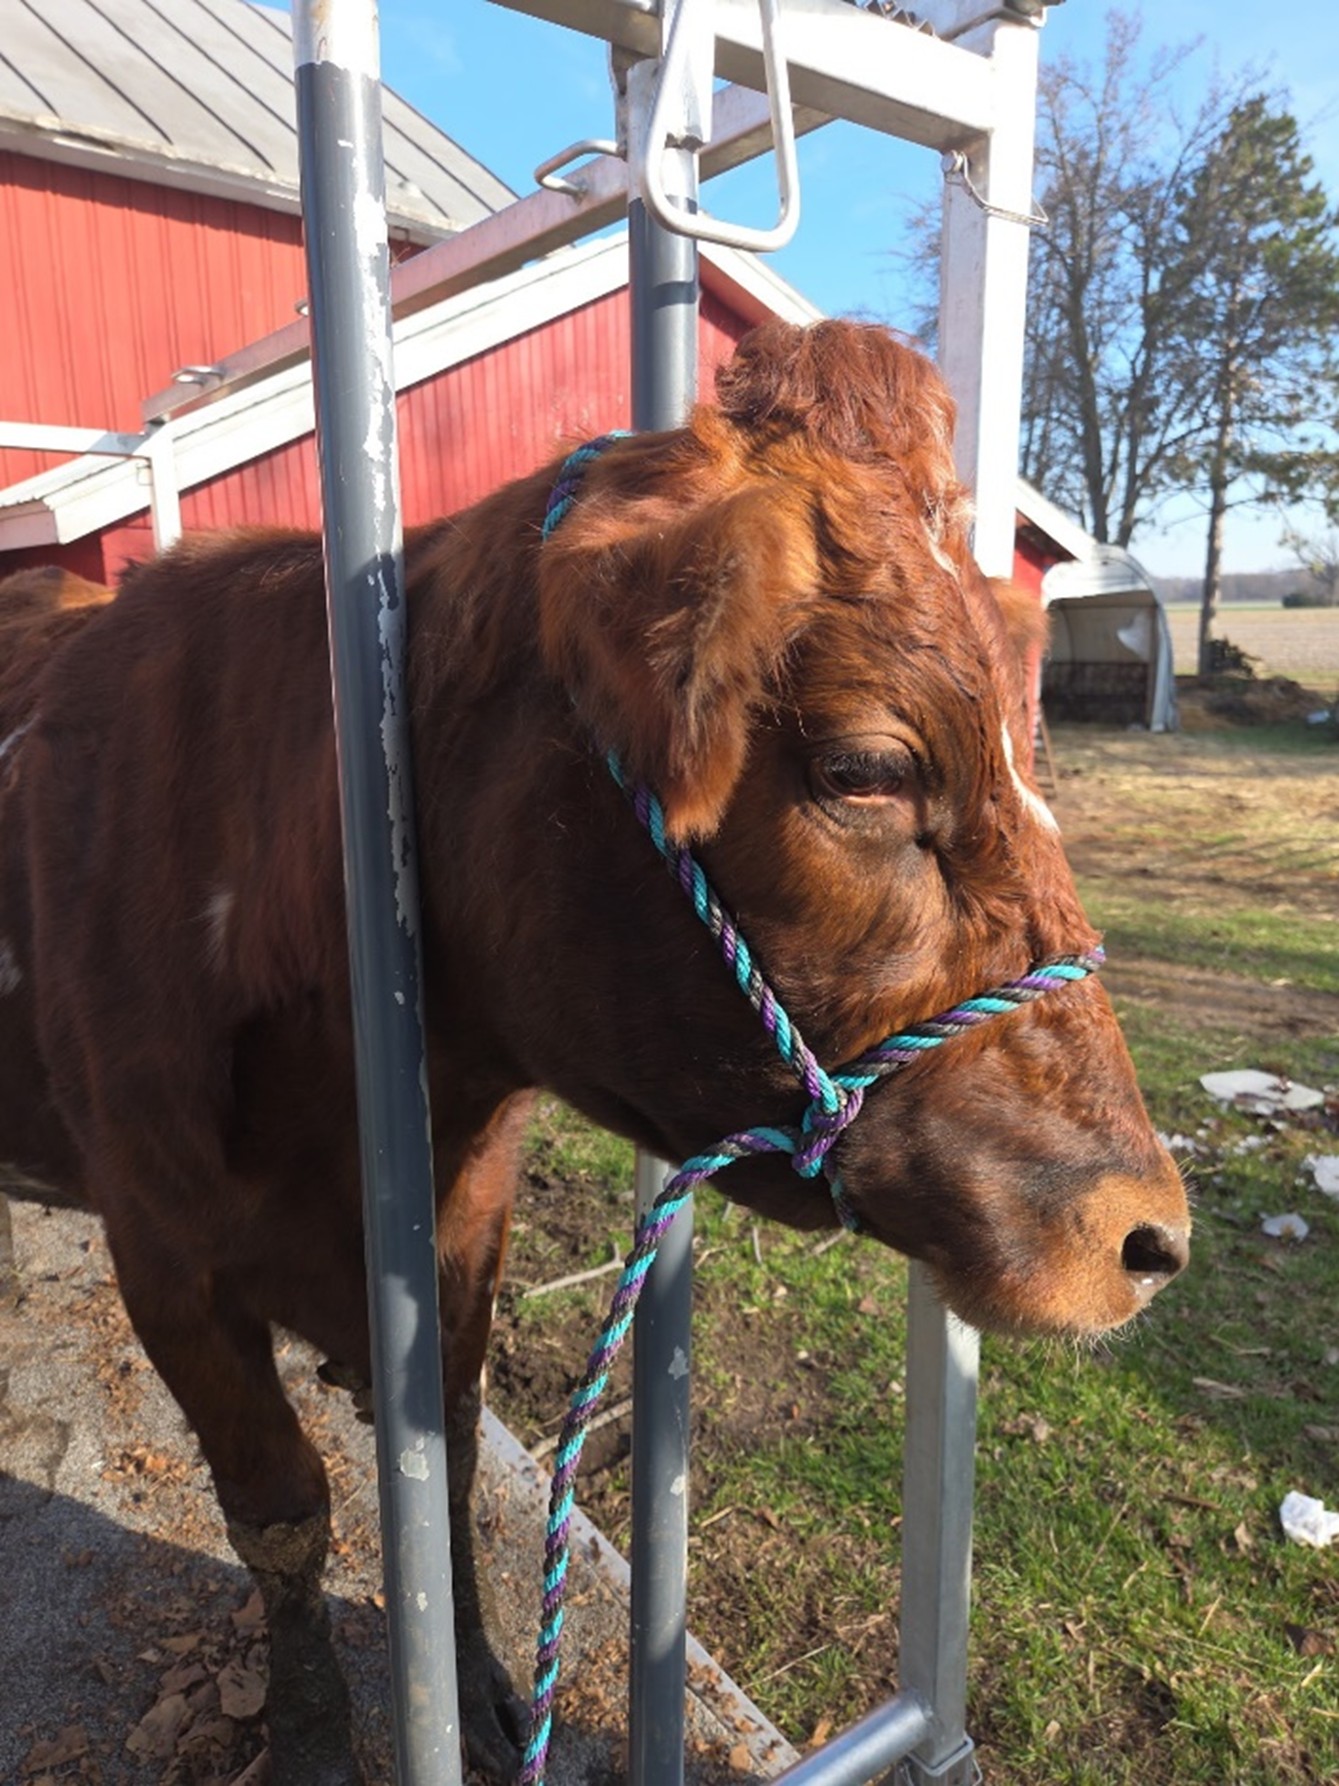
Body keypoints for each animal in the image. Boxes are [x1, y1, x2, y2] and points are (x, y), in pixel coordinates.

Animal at [0, 320, 1189, 1785]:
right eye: (862, 768)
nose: (1146, 1234)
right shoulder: (164, 1255)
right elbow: (283, 1510)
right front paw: (314, 1733)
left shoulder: (465, 1228)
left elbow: (441, 1464)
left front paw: (475, 1686)